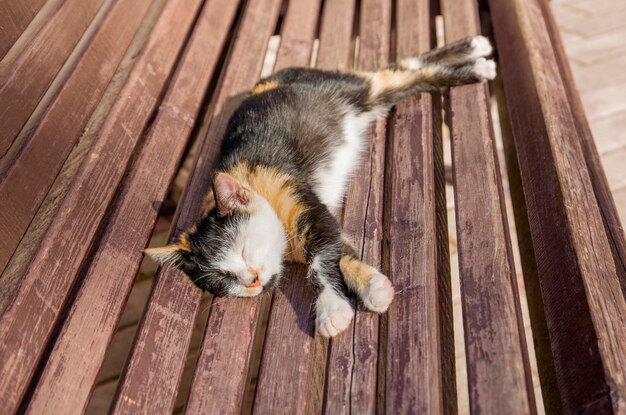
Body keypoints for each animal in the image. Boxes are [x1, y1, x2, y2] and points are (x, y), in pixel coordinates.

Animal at [145, 35, 492, 338]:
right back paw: (474, 53)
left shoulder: (303, 202)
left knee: (402, 73)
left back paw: (478, 61)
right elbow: (340, 252)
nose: (252, 281)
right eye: (222, 277)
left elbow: (319, 262)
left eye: (242, 249)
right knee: (404, 71)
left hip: (352, 90)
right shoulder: (326, 223)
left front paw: (331, 310)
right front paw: (374, 286)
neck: (258, 185)